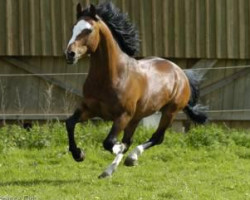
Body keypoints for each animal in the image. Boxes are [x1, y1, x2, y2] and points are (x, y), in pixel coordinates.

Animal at [64, 2, 207, 178]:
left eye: (89, 30)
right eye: (73, 28)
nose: (70, 54)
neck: (111, 77)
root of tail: (180, 72)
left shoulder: (123, 116)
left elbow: (109, 142)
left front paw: (117, 148)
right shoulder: (89, 109)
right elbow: (70, 123)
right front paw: (79, 154)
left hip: (169, 112)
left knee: (156, 138)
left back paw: (131, 158)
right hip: (137, 116)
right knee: (132, 140)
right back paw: (109, 170)